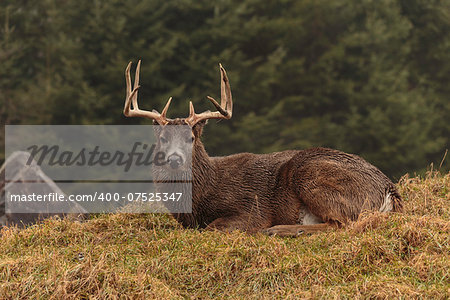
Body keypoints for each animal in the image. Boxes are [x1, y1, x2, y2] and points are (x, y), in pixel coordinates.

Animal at [121, 59, 402, 236]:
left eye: (191, 138)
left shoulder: (251, 208)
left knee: (343, 222)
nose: (175, 159)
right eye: (163, 138)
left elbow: (215, 227)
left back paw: (278, 230)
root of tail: (388, 189)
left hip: (313, 175)